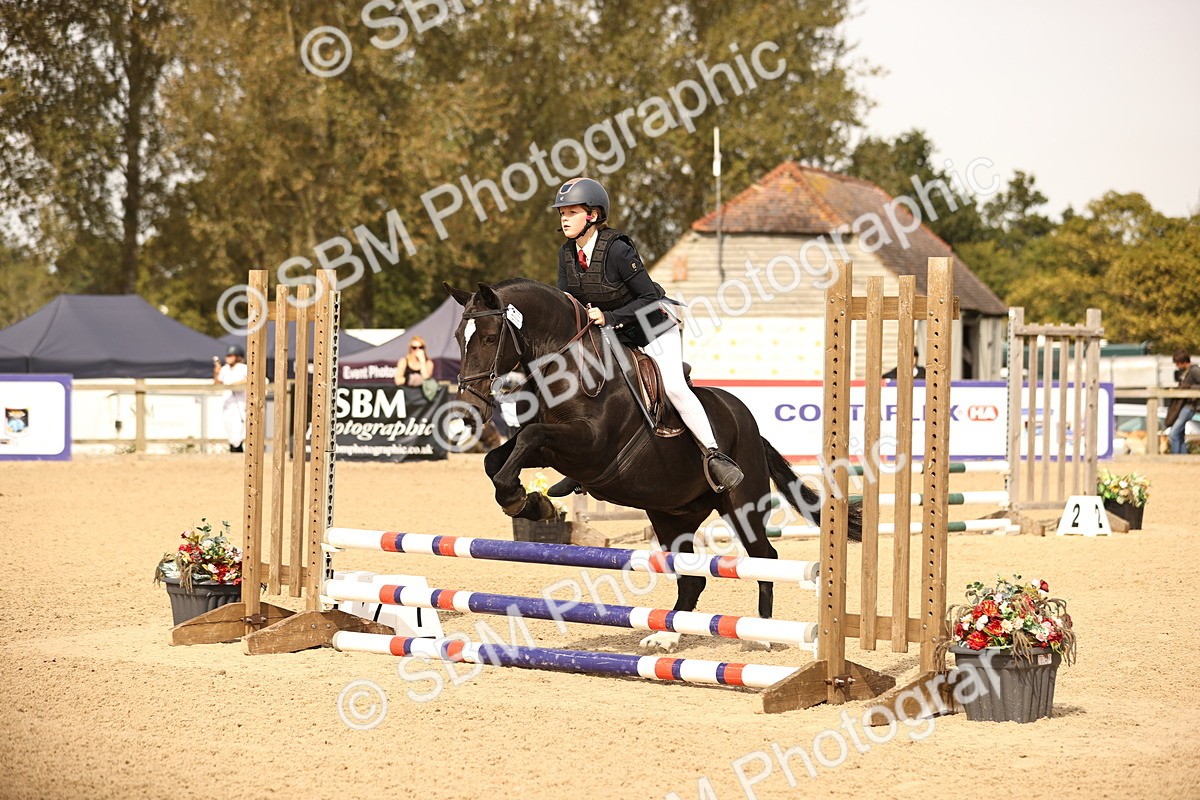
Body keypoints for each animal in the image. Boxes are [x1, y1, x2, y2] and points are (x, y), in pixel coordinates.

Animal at [443, 277, 862, 652]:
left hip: (742, 503)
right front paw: (530, 501)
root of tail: (749, 422)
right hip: (671, 515)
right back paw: (666, 637)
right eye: (458, 336)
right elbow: (498, 458)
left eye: (489, 337)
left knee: (765, 557)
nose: (469, 411)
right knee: (692, 579)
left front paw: (523, 500)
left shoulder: (589, 445)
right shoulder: (555, 449)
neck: (568, 367)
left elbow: (529, 437)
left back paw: (761, 634)